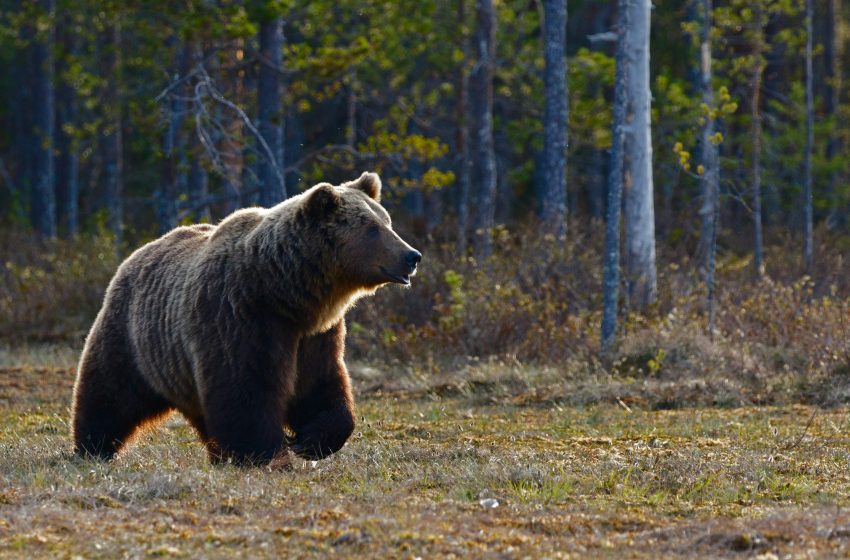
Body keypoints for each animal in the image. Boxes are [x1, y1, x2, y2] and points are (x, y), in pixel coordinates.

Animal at [71, 172, 420, 466]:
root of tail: (137, 253)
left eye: (387, 221)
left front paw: (309, 441)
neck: (287, 293)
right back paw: (92, 447)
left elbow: (320, 385)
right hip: (134, 337)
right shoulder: (241, 316)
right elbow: (245, 389)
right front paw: (266, 453)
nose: (412, 256)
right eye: (372, 228)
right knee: (109, 392)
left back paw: (217, 455)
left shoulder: (316, 335)